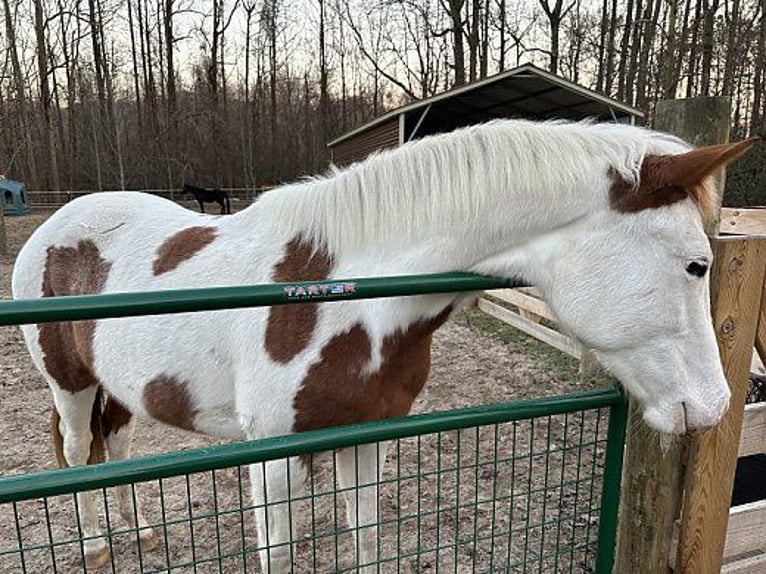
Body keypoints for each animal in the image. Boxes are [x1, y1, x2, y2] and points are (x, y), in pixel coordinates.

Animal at [12, 119, 756, 572]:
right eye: (697, 264)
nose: (714, 406)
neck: (345, 295)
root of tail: (57, 223)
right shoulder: (273, 457)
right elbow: (280, 554)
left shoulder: (366, 436)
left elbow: (367, 539)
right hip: (68, 384)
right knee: (78, 450)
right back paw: (97, 546)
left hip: (117, 386)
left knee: (117, 443)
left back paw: (136, 532)